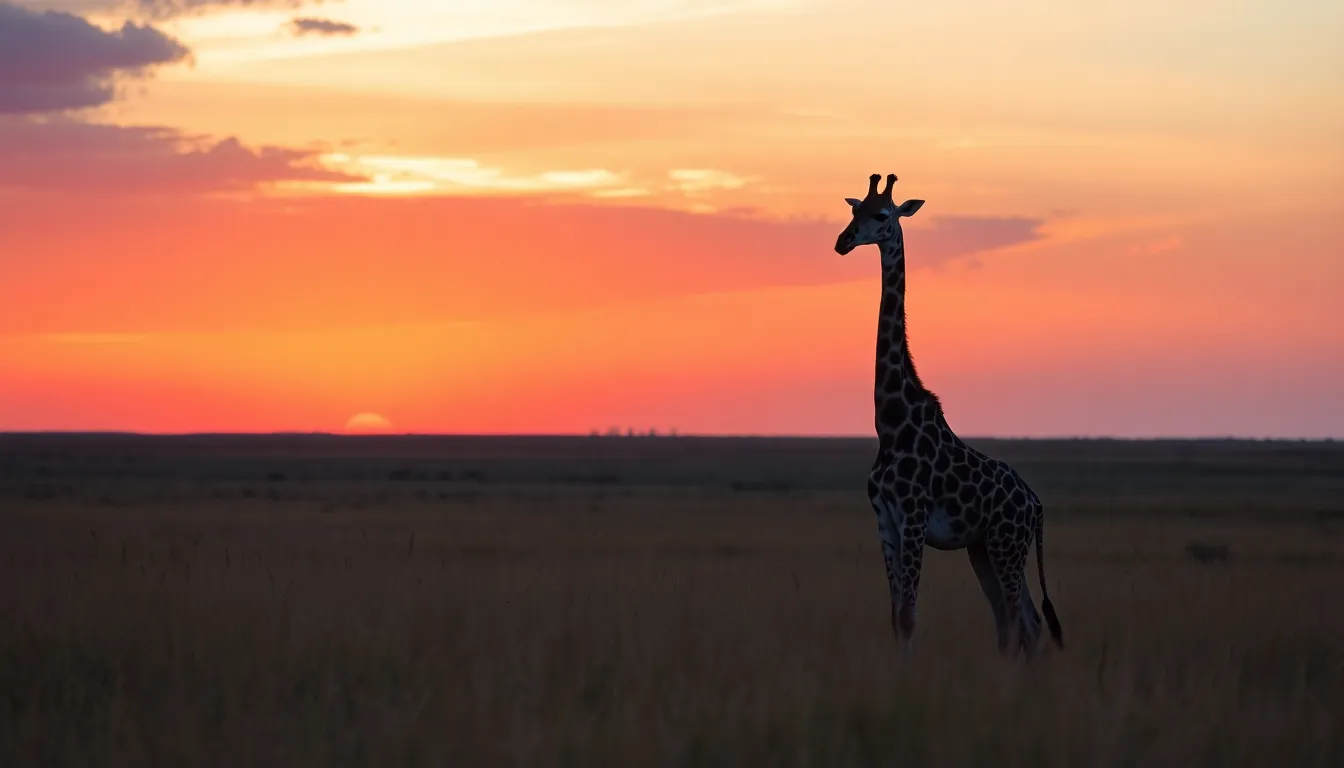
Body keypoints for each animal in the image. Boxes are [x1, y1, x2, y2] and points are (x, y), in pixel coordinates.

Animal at [834, 173, 1064, 660]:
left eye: (883, 215)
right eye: (854, 210)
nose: (842, 242)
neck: (891, 423)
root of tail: (1035, 504)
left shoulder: (914, 516)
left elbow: (909, 614)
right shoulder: (884, 519)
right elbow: (896, 616)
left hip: (1006, 544)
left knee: (1024, 619)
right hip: (984, 547)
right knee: (1017, 619)